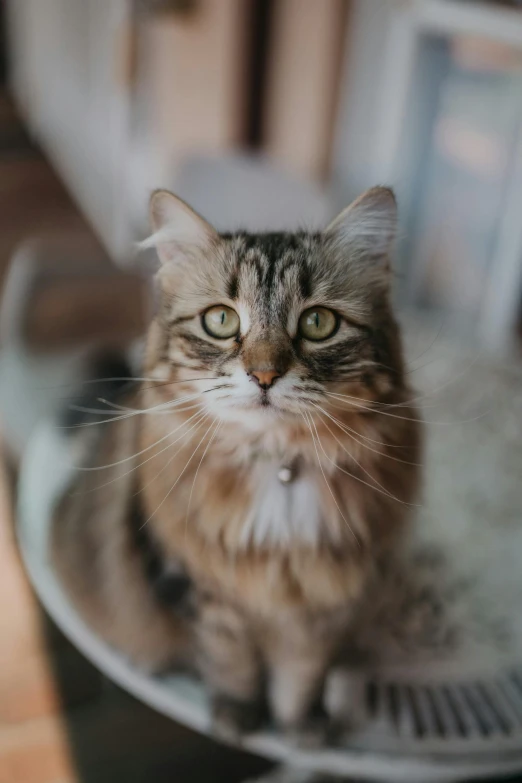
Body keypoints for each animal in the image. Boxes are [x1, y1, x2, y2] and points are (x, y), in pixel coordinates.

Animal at [51, 187, 418, 740]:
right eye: (221, 320)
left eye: (318, 323)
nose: (264, 375)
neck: (278, 467)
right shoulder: (201, 590)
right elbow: (231, 662)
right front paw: (237, 718)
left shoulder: (325, 605)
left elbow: (300, 675)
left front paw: (300, 728)